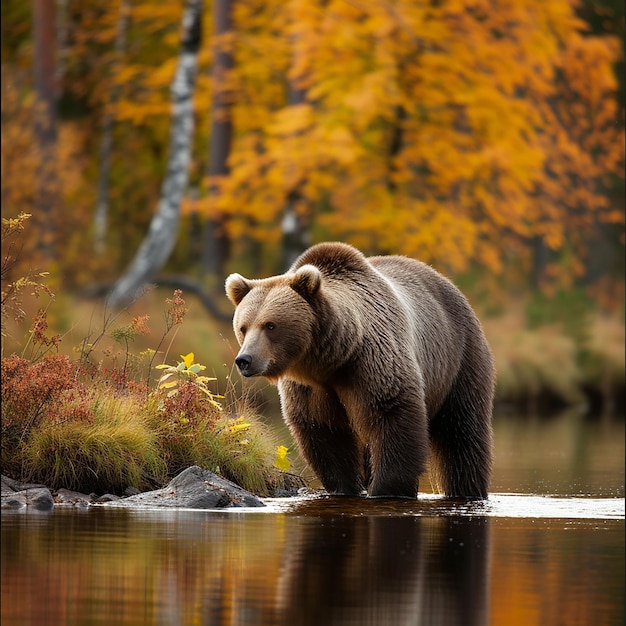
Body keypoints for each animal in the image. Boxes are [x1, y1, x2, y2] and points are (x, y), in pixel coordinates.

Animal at [224, 241, 492, 500]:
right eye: (243, 327)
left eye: (270, 325)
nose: (245, 360)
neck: (331, 359)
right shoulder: (309, 389)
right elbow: (324, 434)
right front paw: (345, 487)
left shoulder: (372, 364)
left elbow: (393, 416)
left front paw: (386, 489)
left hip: (459, 357)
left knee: (461, 432)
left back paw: (467, 489)